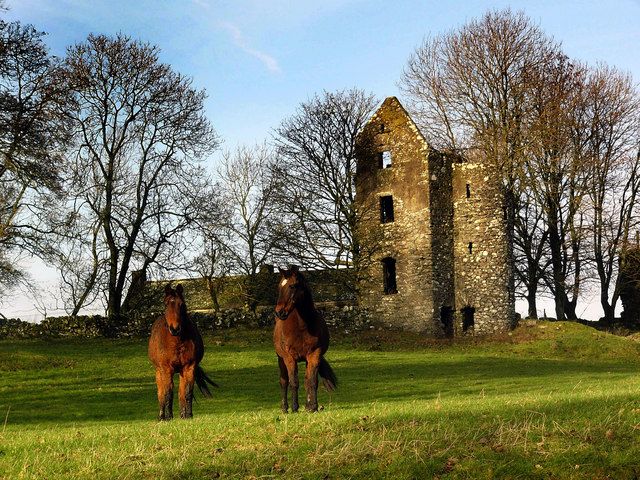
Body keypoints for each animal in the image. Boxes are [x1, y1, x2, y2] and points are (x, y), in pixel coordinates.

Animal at [148, 284, 216, 420]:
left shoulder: (189, 367)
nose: (175, 329)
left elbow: (187, 391)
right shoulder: (166, 369)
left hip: (181, 371)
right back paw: (162, 416)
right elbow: (168, 392)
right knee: (161, 392)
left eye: (182, 304)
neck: (177, 342)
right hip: (159, 371)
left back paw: (182, 414)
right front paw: (169, 417)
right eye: (166, 304)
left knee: (181, 391)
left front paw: (188, 415)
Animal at [272, 266, 338, 412]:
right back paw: (284, 408)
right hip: (281, 359)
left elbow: (311, 381)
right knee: (283, 381)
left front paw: (313, 406)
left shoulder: (314, 354)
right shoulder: (289, 357)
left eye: (292, 286)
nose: (279, 312)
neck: (302, 326)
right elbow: (293, 382)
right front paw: (294, 407)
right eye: (279, 287)